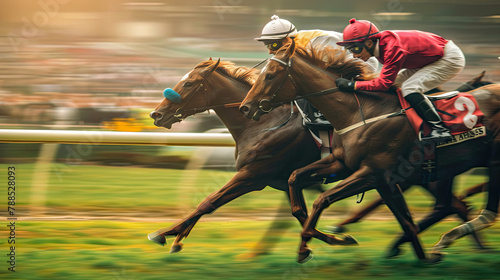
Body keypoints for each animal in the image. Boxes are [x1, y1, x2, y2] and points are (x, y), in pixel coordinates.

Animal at [239, 41, 500, 262]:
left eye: (270, 75)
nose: (246, 107)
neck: (359, 111)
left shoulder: (373, 172)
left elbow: (322, 199)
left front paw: (309, 245)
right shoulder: (346, 165)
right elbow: (295, 178)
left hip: (489, 161)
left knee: (479, 211)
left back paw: (448, 241)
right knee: (448, 206)